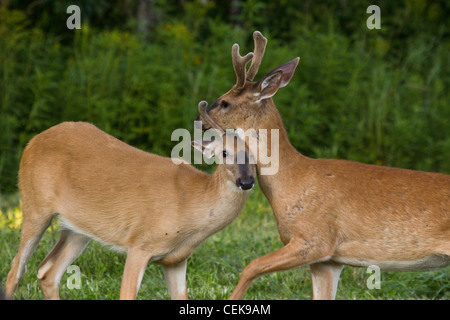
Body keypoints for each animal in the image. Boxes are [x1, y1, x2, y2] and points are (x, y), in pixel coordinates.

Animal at [199, 31, 450, 298]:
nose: (199, 119)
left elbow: (252, 266)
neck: (290, 179)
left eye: (225, 102)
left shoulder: (315, 239)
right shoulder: (328, 261)